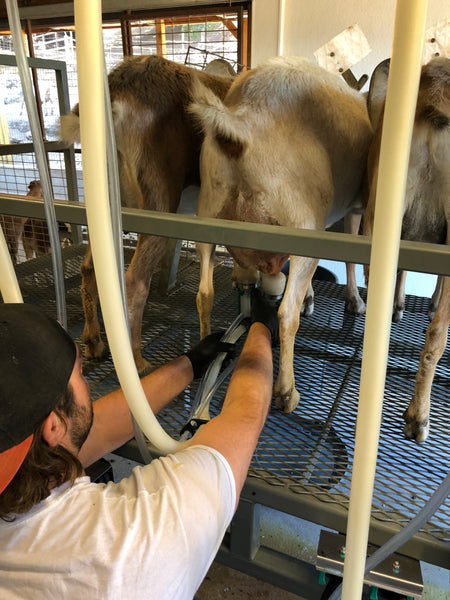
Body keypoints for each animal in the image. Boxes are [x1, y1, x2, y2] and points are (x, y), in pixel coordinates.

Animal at [60, 57, 234, 376]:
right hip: (157, 202)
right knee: (135, 280)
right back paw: (138, 361)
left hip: (103, 207)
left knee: (89, 268)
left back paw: (94, 342)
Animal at [190, 56, 372, 412]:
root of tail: (243, 125)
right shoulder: (352, 208)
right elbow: (349, 261)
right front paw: (354, 300)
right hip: (302, 225)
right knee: (286, 313)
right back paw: (286, 391)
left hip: (207, 214)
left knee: (204, 293)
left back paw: (207, 350)